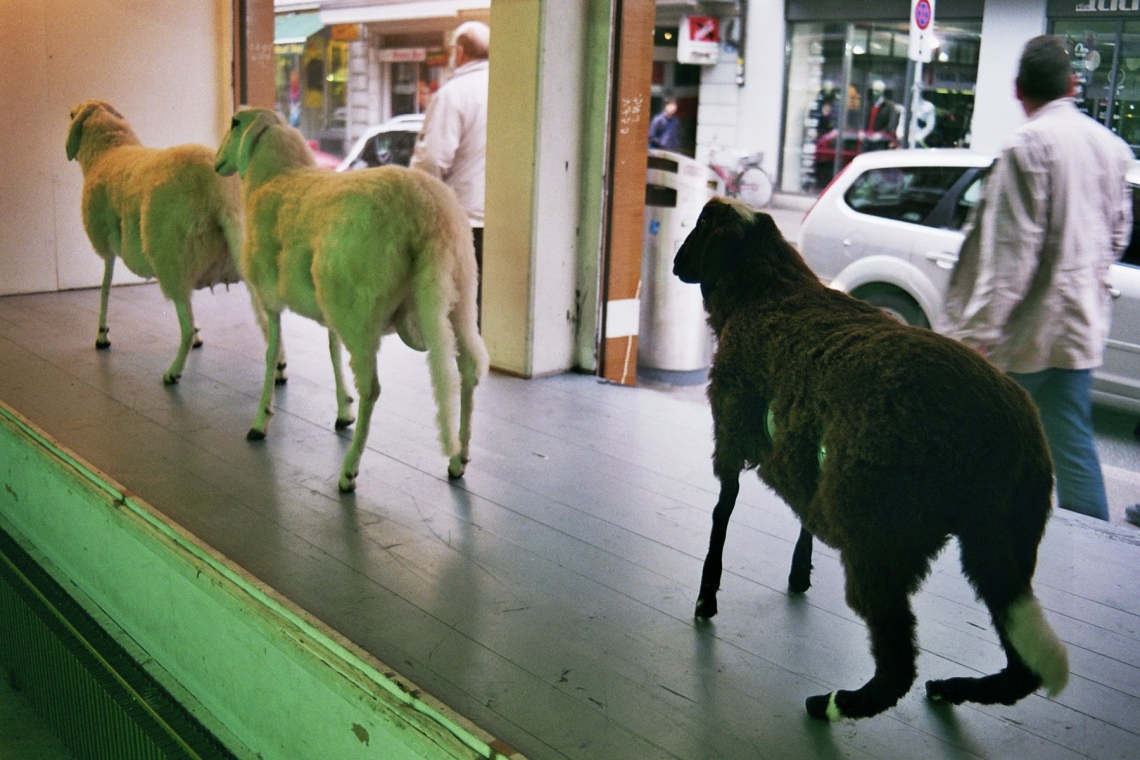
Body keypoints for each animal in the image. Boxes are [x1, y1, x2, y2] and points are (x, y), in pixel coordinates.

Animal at [66, 100, 279, 385]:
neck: (110, 149)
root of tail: (219, 193)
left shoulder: (107, 246)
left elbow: (105, 288)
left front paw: (102, 334)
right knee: (267, 319)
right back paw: (280, 367)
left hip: (171, 258)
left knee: (185, 325)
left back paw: (174, 371)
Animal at [214, 108, 488, 491]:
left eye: (234, 123)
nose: (216, 162)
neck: (277, 174)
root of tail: (427, 213)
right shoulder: (330, 307)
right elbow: (332, 350)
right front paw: (343, 410)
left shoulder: (269, 299)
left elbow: (271, 354)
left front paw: (260, 420)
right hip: (457, 299)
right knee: (469, 369)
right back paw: (459, 458)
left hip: (361, 311)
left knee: (372, 387)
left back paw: (348, 471)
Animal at [673, 197, 1068, 721]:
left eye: (699, 226)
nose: (675, 264)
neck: (770, 290)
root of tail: (998, 430)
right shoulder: (804, 455)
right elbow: (802, 517)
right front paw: (798, 573)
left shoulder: (732, 432)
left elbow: (722, 514)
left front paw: (705, 599)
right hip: (1002, 537)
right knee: (1021, 662)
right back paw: (951, 689)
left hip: (879, 533)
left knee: (898, 660)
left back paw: (834, 703)